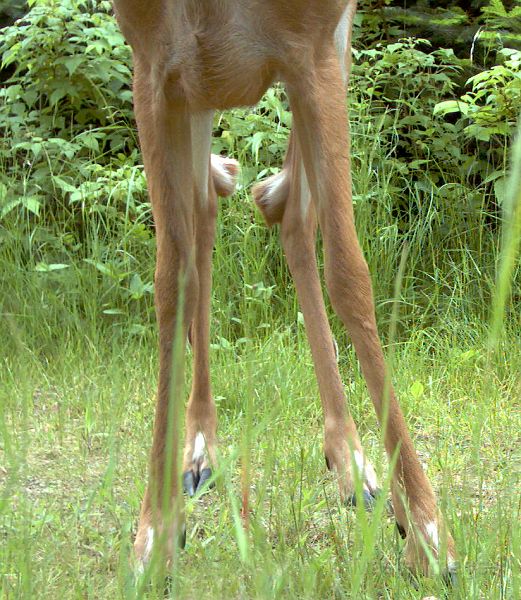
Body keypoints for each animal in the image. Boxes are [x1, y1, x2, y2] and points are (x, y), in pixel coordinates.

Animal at [112, 0, 456, 580]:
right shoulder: (153, 62)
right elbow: (169, 282)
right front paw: (152, 537)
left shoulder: (313, 47)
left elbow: (349, 273)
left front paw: (431, 533)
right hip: (197, 88)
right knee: (210, 206)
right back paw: (200, 447)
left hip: (328, 51)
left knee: (288, 209)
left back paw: (352, 461)